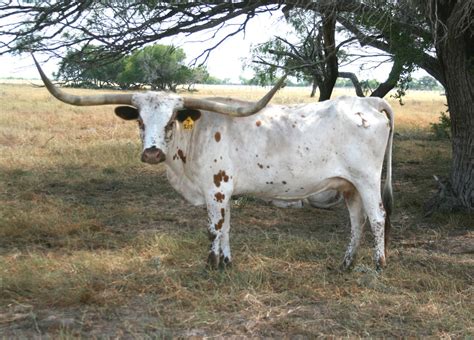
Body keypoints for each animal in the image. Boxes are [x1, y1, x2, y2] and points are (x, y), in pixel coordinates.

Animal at [34, 57, 392, 270]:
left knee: (377, 218)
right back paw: (346, 263)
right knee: (356, 220)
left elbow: (213, 228)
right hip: (348, 185)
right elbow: (227, 227)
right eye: (139, 120)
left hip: (367, 180)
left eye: (171, 120)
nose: (152, 153)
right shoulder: (224, 192)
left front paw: (210, 265)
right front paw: (226, 263)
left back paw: (378, 266)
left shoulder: (216, 188)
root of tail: (367, 102)